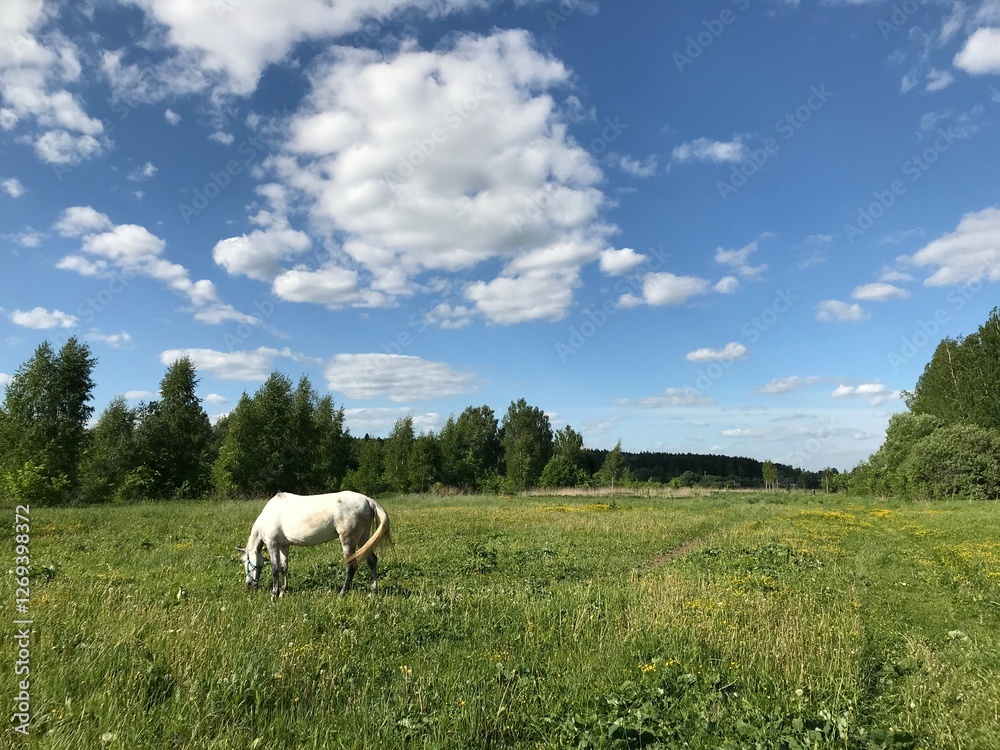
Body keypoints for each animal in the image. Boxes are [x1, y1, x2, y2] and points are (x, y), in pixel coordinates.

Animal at [237, 491, 391, 597]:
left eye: (245, 561)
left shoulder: (272, 544)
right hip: (363, 539)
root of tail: (367, 500)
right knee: (371, 560)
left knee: (351, 565)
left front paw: (275, 593)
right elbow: (284, 567)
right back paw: (374, 589)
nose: (249, 585)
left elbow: (274, 569)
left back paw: (343, 592)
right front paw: (283, 591)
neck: (268, 515)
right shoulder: (284, 546)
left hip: (348, 540)